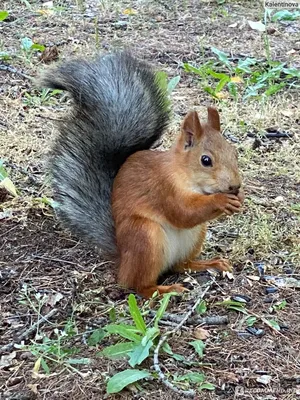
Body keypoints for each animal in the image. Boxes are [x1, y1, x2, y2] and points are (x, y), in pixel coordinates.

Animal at [40, 51, 244, 298]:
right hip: (145, 236)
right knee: (138, 285)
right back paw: (164, 289)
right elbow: (182, 213)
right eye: (206, 160)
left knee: (179, 265)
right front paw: (221, 200)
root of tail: (122, 260)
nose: (235, 186)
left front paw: (238, 199)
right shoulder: (162, 188)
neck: (184, 175)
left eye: (234, 152)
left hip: (194, 236)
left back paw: (209, 264)